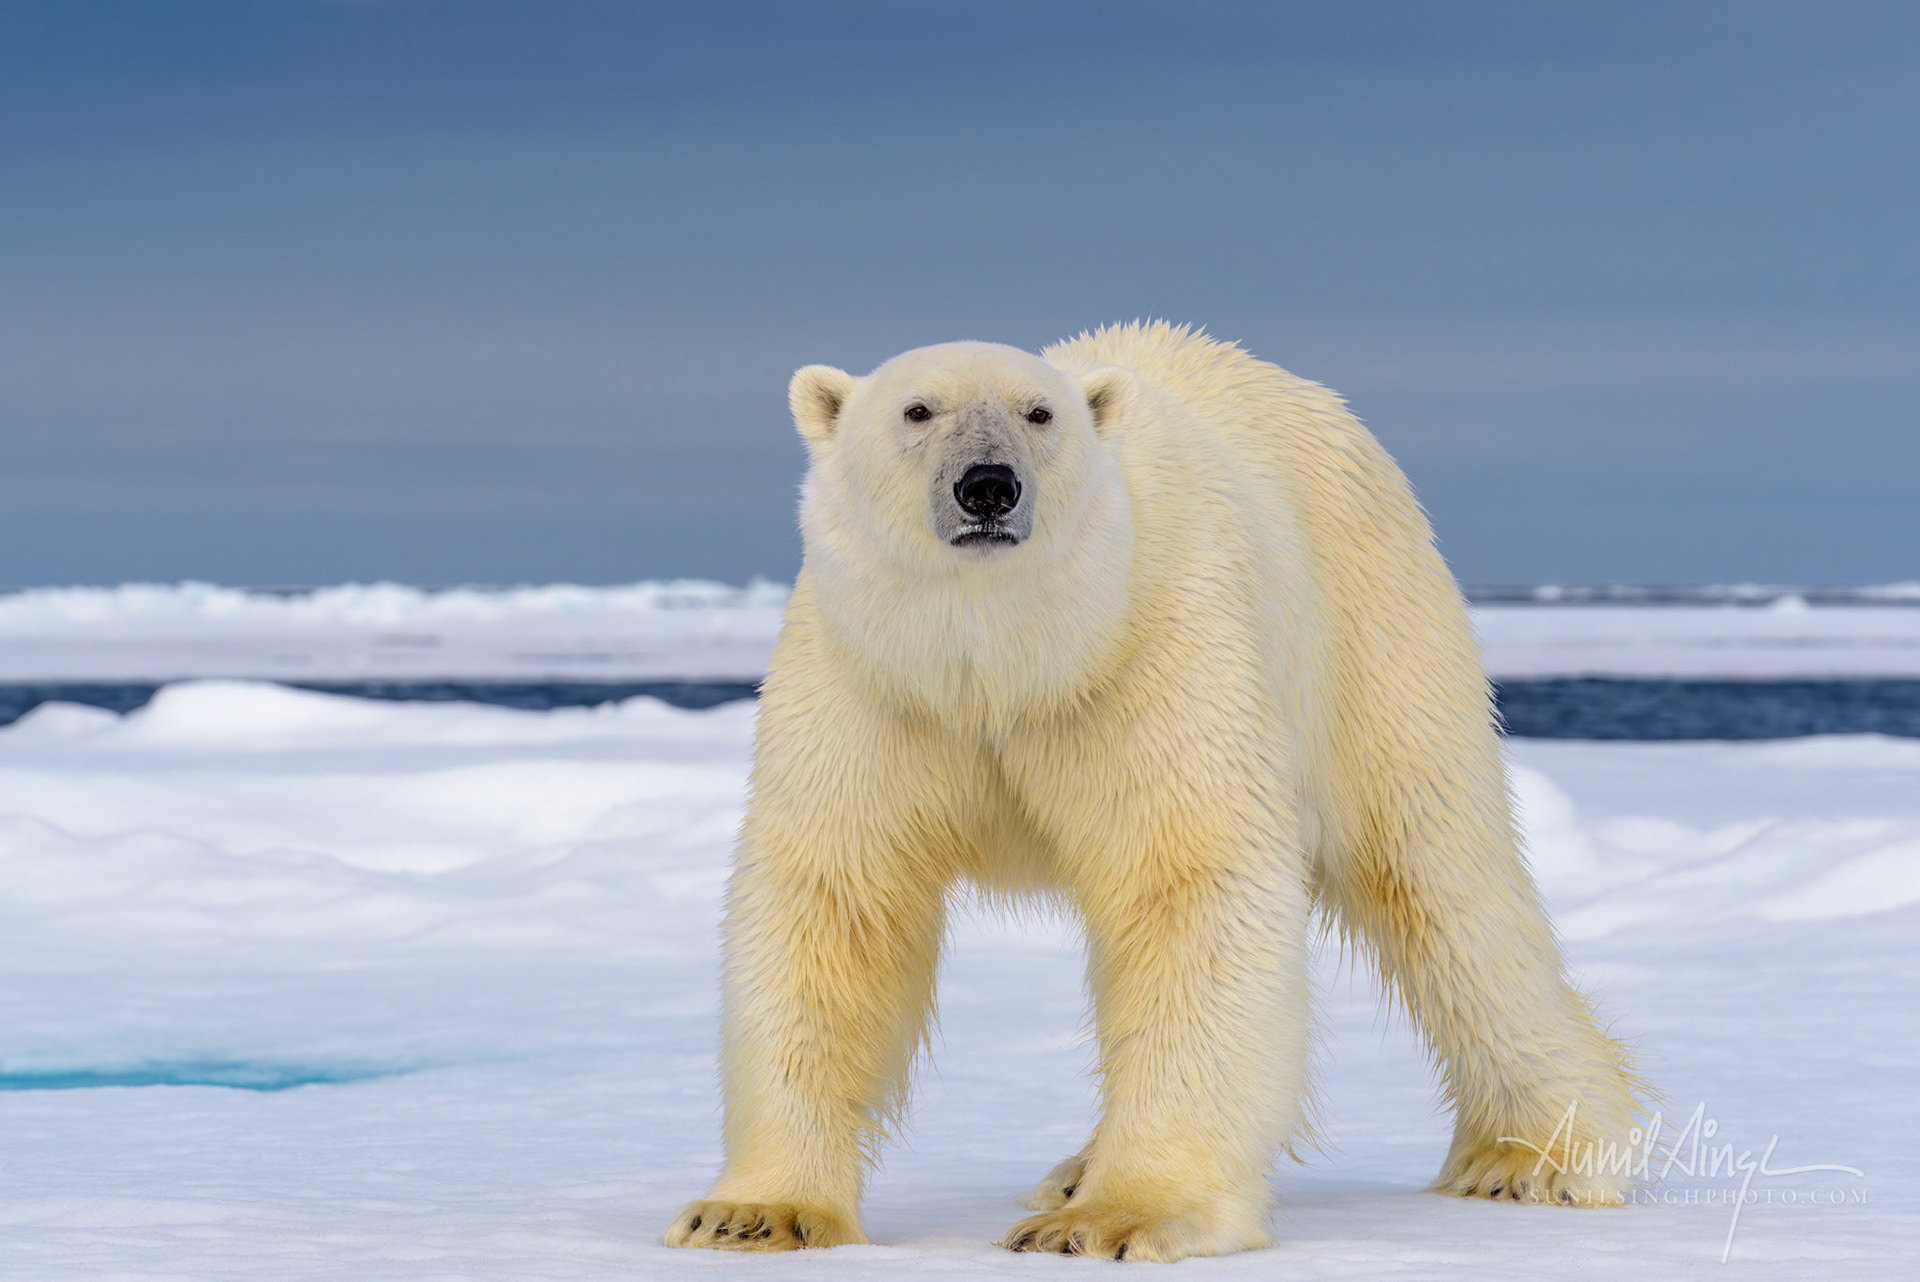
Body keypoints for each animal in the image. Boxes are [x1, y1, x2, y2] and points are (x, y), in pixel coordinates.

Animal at [663, 322, 1640, 1261]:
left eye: (1039, 413)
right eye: (917, 409)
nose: (989, 488)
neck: (1006, 664)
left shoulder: (1154, 654)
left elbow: (1189, 887)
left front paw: (1112, 1220)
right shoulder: (872, 686)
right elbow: (834, 903)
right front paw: (752, 1214)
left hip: (1372, 634)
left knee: (1442, 882)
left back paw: (1540, 1154)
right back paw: (1070, 1170)